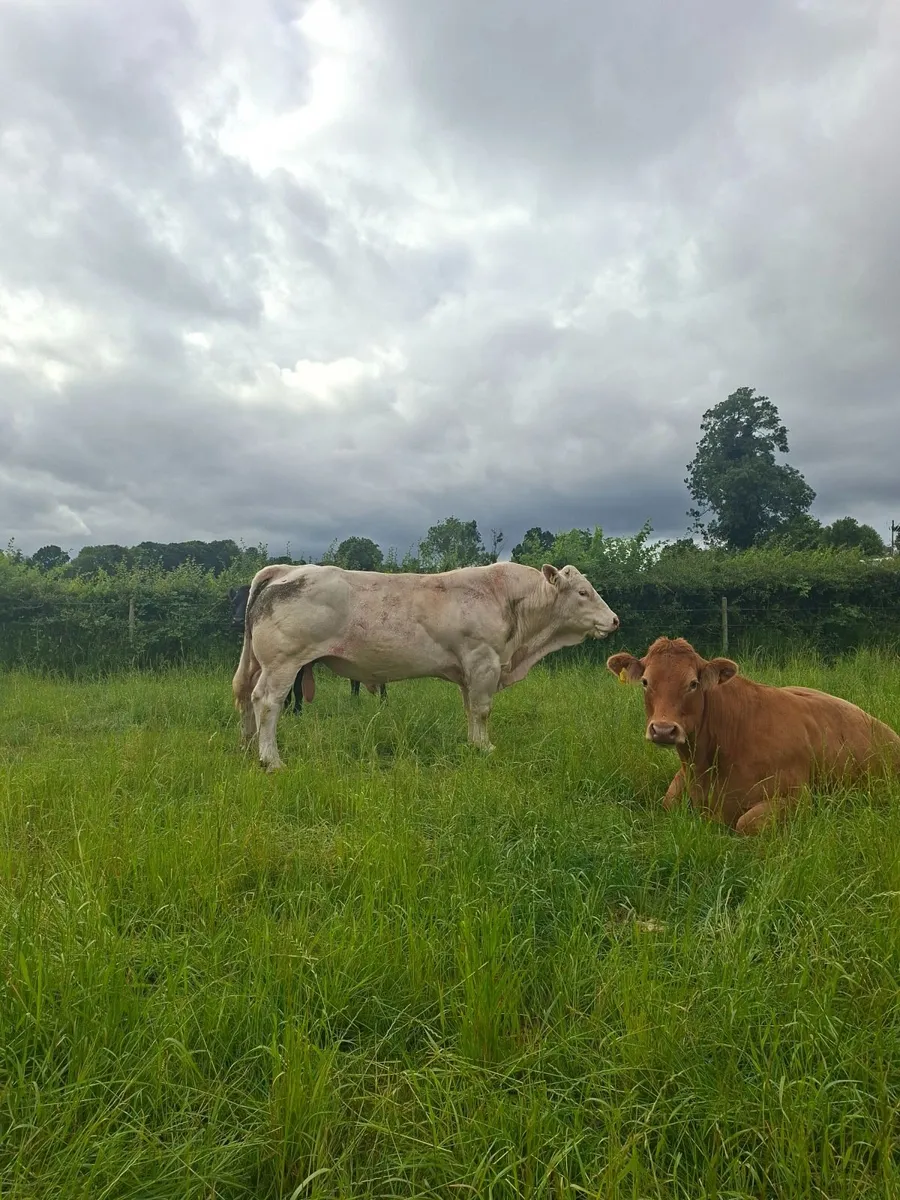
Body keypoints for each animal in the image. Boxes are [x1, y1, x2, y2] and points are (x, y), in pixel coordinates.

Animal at [228, 582, 387, 713]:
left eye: (249, 602)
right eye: (234, 602)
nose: (237, 621)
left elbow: (297, 688)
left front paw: (296, 712)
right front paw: (286, 710)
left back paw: (382, 702)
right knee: (355, 680)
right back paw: (354, 701)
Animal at [607, 636, 900, 835]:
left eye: (693, 684)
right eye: (645, 682)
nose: (664, 730)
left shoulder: (799, 799)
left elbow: (745, 823)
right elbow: (668, 804)